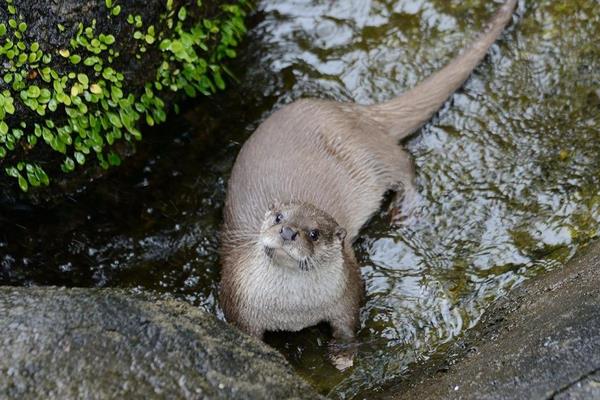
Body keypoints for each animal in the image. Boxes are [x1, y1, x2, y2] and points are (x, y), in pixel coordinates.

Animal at [218, 0, 516, 342]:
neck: (292, 312)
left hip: (371, 158)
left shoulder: (347, 292)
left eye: (314, 233)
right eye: (279, 217)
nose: (288, 232)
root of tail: (354, 112)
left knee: (404, 163)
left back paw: (405, 209)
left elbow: (347, 331)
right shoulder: (238, 302)